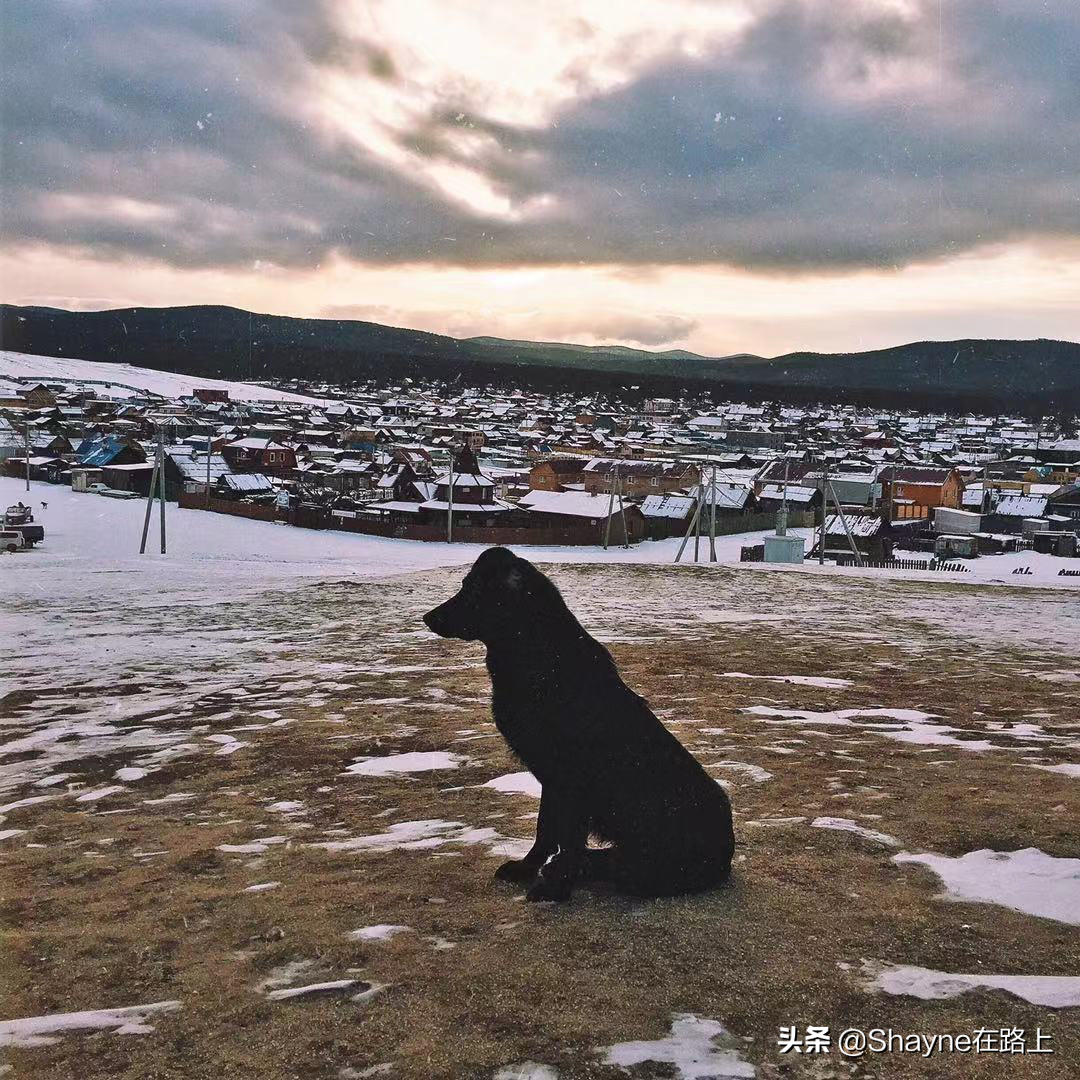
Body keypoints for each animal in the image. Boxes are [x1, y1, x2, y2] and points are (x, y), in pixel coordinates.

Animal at [421, 548, 734, 902]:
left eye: (473, 589)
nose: (428, 617)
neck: (538, 653)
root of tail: (728, 852)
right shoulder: (551, 778)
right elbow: (545, 830)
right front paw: (528, 869)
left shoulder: (570, 779)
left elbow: (568, 837)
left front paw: (555, 888)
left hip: (646, 863)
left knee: (620, 866)